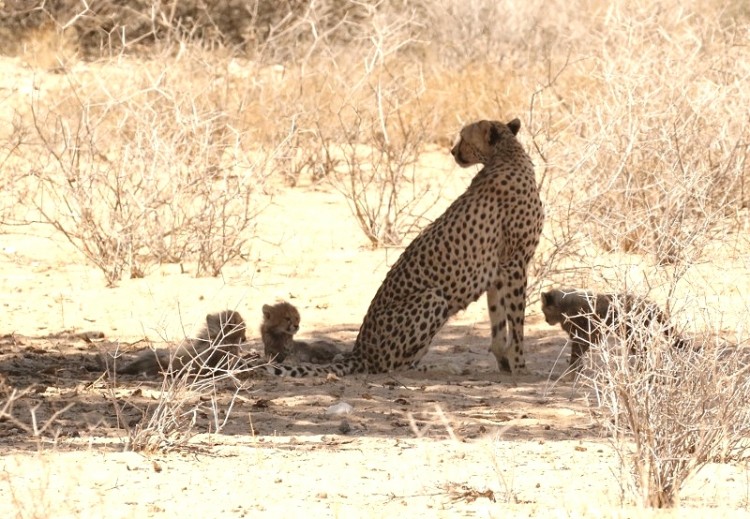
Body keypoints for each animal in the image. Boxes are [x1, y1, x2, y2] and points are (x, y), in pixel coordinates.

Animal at [274, 118, 544, 378]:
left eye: (463, 137)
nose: (452, 151)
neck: (507, 155)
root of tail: (359, 351)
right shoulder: (515, 264)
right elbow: (516, 323)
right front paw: (521, 367)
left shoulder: (500, 270)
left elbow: (499, 322)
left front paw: (506, 364)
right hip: (433, 297)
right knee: (393, 366)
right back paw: (442, 369)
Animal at [540, 288, 688, 370]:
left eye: (543, 310)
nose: (546, 320)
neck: (563, 306)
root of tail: (648, 301)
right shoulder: (587, 337)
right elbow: (578, 357)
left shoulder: (583, 336)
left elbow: (575, 356)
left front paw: (570, 375)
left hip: (632, 334)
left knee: (644, 351)